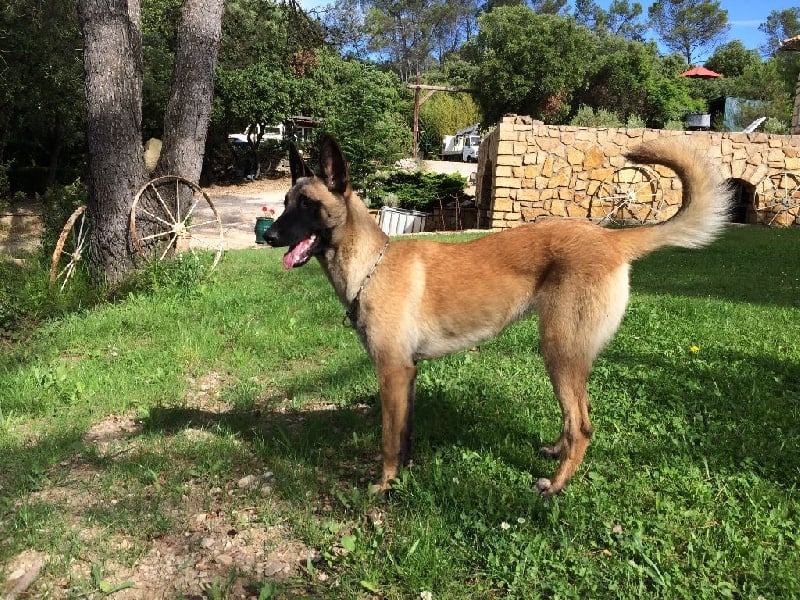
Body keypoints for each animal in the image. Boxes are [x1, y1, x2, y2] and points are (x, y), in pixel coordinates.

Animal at [264, 136, 732, 496]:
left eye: (307, 205)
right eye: (285, 202)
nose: (268, 236)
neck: (370, 265)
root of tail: (611, 240)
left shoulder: (391, 372)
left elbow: (387, 440)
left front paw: (384, 485)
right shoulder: (408, 374)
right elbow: (406, 432)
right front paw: (405, 475)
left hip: (558, 350)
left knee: (582, 425)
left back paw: (556, 485)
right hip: (570, 354)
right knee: (577, 416)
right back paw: (556, 452)